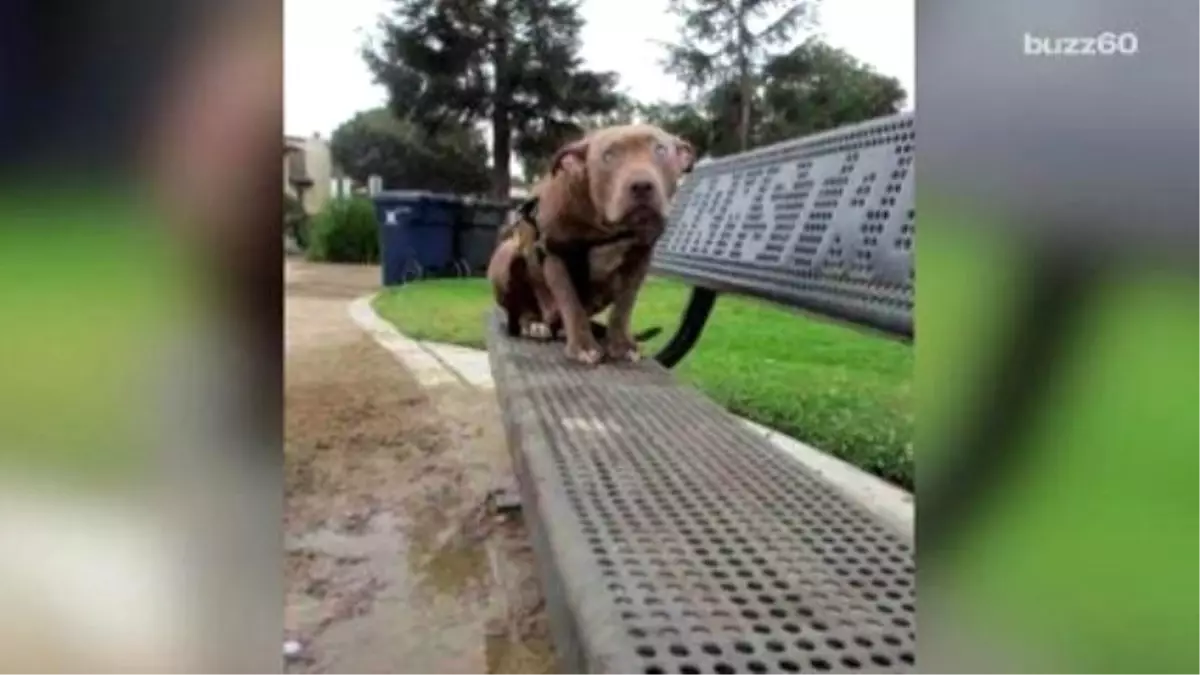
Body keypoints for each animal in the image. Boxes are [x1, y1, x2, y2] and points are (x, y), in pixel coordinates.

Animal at [535, 120, 696, 362]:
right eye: (608, 155)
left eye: (660, 149)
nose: (642, 185)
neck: (607, 227)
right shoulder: (556, 257)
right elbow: (571, 303)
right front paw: (583, 345)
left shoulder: (639, 259)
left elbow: (624, 305)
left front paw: (621, 344)